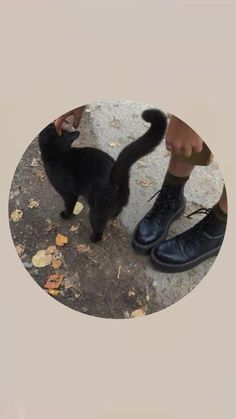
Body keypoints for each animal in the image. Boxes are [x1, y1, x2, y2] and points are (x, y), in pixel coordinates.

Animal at [38, 108, 167, 243]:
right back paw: (113, 217)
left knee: (99, 228)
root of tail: (117, 180)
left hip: (96, 212)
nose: (51, 123)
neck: (58, 154)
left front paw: (66, 215)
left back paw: (94, 238)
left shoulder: (69, 194)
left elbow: (69, 205)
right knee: (116, 212)